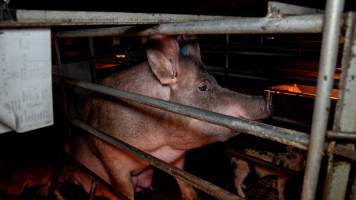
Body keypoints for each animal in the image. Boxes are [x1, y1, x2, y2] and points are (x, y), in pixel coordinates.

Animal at [71, 34, 272, 200]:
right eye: (203, 87)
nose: (267, 100)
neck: (158, 145)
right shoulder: (110, 156)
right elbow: (123, 192)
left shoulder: (177, 158)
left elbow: (184, 182)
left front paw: (192, 196)